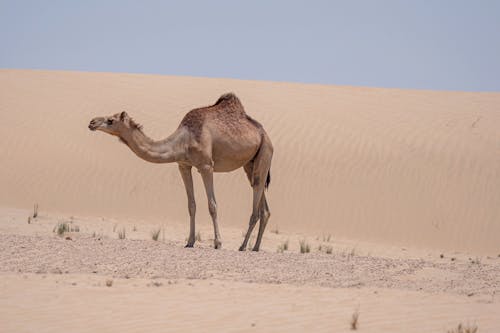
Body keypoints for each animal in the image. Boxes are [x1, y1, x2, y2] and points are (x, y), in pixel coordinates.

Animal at [88, 92, 272, 250]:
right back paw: (255, 247)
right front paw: (190, 242)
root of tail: (264, 133)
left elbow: (212, 205)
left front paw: (218, 243)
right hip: (249, 164)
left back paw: (243, 246)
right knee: (263, 203)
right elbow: (191, 205)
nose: (92, 122)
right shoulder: (183, 165)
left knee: (257, 196)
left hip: (265, 152)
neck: (184, 140)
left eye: (111, 120)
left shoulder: (206, 166)